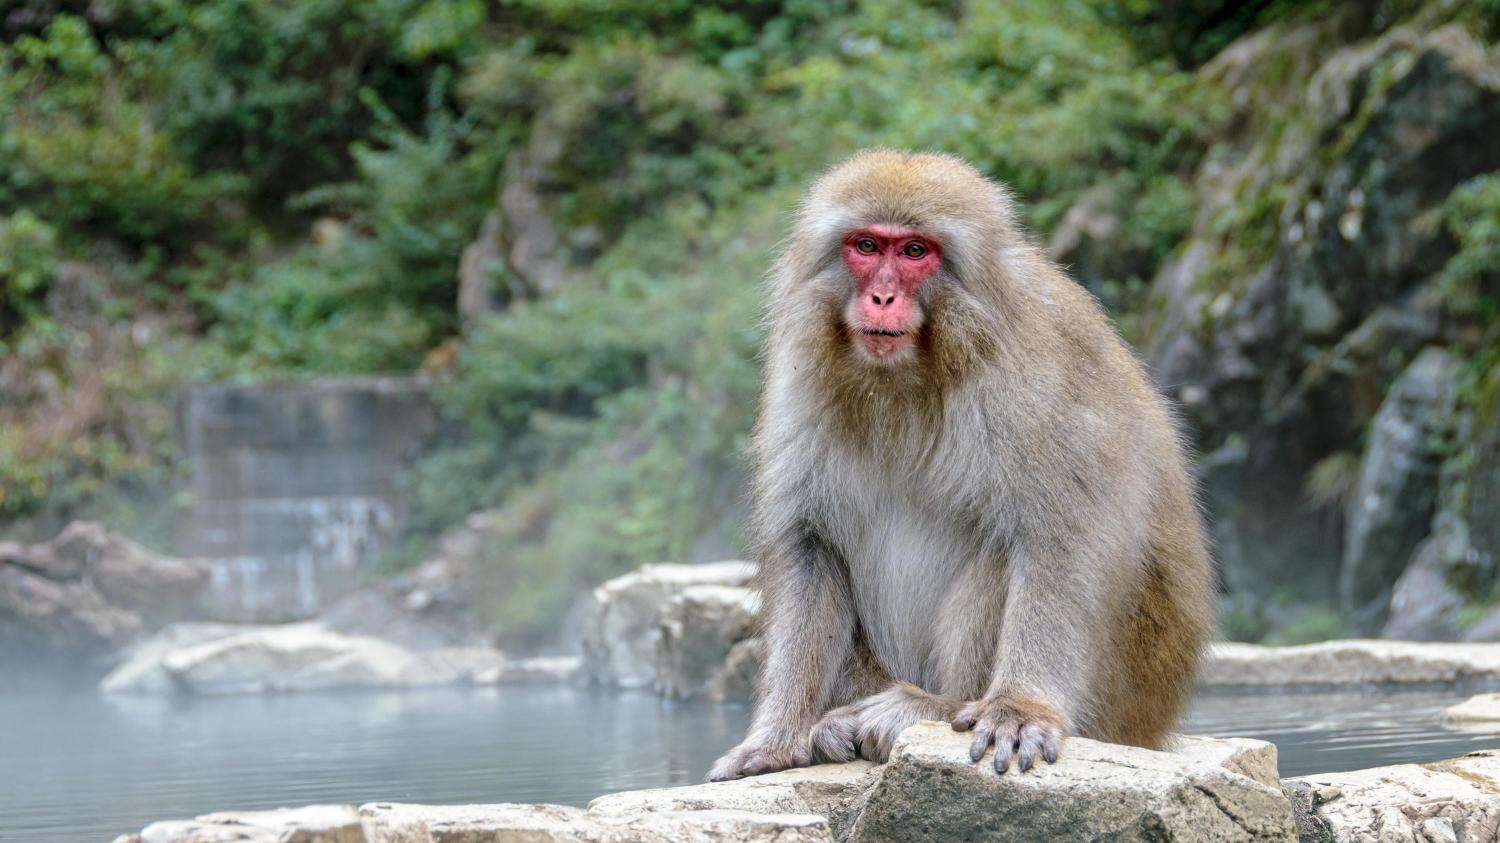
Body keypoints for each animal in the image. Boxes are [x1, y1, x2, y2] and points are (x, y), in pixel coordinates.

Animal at [708, 150, 1214, 782]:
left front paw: (1021, 707)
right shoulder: (802, 380)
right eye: (866, 246)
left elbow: (1066, 534)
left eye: (914, 251)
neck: (909, 375)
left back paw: (935, 705)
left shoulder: (1031, 375)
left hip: (1123, 697)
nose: (881, 298)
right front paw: (777, 736)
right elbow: (810, 544)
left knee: (1003, 546)